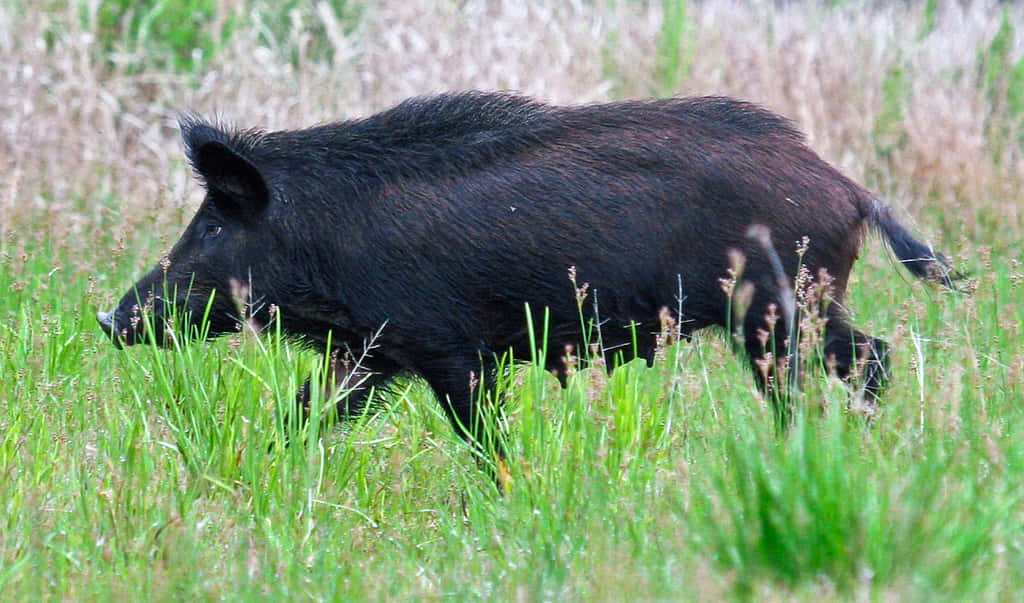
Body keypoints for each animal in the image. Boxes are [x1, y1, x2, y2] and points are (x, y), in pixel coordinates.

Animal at [98, 92, 957, 467]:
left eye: (213, 226)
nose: (109, 319)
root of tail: (852, 190)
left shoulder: (450, 350)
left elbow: (485, 440)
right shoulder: (372, 354)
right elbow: (304, 414)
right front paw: (262, 468)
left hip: (777, 309)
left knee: (856, 362)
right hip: (796, 308)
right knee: (866, 357)